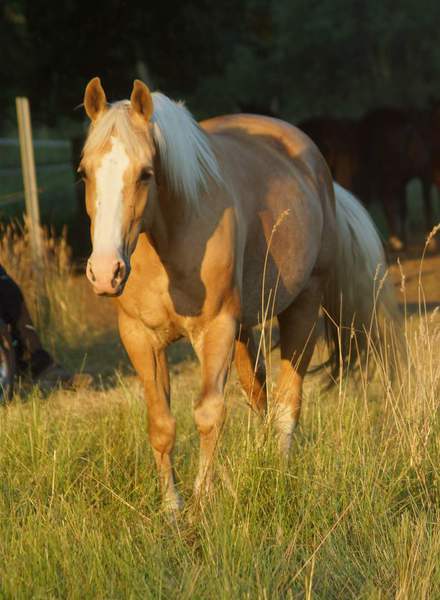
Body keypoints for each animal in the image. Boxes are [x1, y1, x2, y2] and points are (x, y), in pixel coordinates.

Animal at [79, 77, 399, 511]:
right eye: (84, 172)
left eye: (146, 173)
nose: (104, 271)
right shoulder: (140, 337)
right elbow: (161, 424)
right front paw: (172, 509)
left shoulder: (216, 330)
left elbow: (209, 414)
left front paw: (201, 504)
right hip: (246, 330)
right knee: (259, 395)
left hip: (302, 308)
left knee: (287, 402)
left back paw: (280, 472)